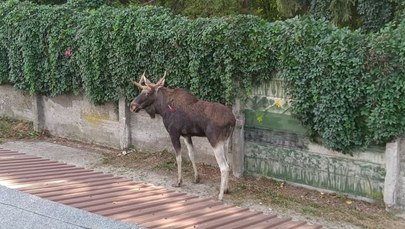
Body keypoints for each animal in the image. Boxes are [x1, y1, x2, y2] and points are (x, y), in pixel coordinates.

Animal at [131, 71, 235, 200]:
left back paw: (220, 195)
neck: (163, 109)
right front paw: (196, 178)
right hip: (225, 141)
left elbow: (179, 157)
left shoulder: (174, 133)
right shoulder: (186, 134)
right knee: (228, 164)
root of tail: (233, 120)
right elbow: (191, 155)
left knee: (224, 167)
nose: (132, 105)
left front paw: (179, 181)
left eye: (148, 93)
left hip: (215, 140)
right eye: (140, 91)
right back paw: (226, 189)